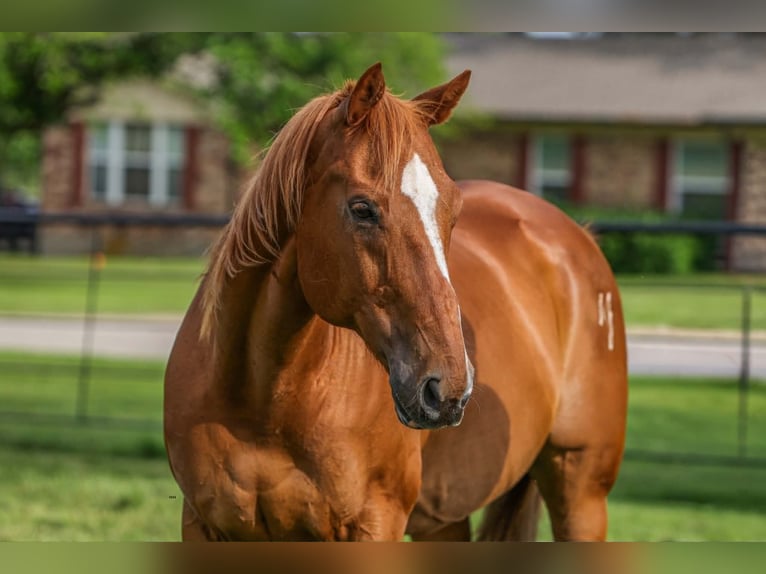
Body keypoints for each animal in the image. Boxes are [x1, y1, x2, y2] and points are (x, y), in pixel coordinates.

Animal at [163, 62, 628, 541]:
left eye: (453, 212)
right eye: (362, 208)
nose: (448, 388)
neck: (264, 404)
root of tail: (576, 237)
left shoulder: (375, 522)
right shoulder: (202, 524)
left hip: (580, 495)